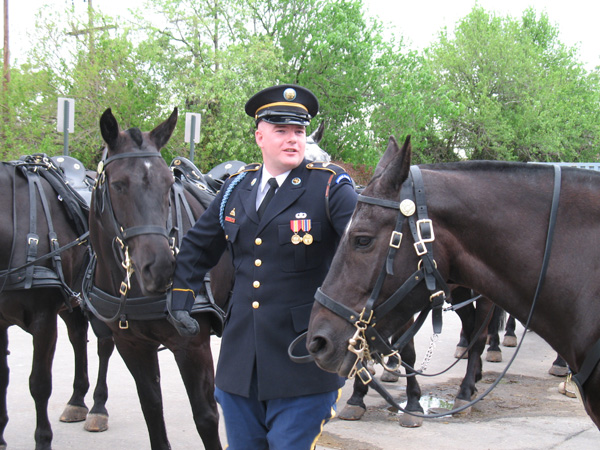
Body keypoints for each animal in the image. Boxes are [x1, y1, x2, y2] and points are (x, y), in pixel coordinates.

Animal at [85, 107, 231, 448]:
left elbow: (205, 417)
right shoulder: (132, 345)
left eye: (167, 184)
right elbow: (152, 409)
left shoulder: (192, 346)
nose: (162, 267)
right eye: (119, 185)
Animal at [308, 135, 600, 430]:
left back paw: (472, 385)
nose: (317, 342)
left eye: (362, 240)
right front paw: (359, 396)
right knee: (470, 330)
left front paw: (411, 403)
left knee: (479, 337)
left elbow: (406, 351)